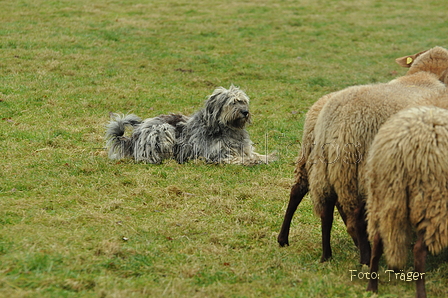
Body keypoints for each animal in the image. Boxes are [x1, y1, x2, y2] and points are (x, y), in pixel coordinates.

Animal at [105, 85, 274, 165]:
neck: (227, 129)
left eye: (243, 101)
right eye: (233, 102)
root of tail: (133, 138)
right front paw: (252, 161)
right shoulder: (217, 155)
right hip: (163, 129)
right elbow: (238, 158)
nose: (245, 112)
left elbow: (253, 154)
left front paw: (266, 157)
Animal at [366, 106, 448, 298]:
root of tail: (400, 145)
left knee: (377, 240)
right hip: (432, 201)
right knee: (418, 251)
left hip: (380, 196)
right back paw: (421, 293)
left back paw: (372, 287)